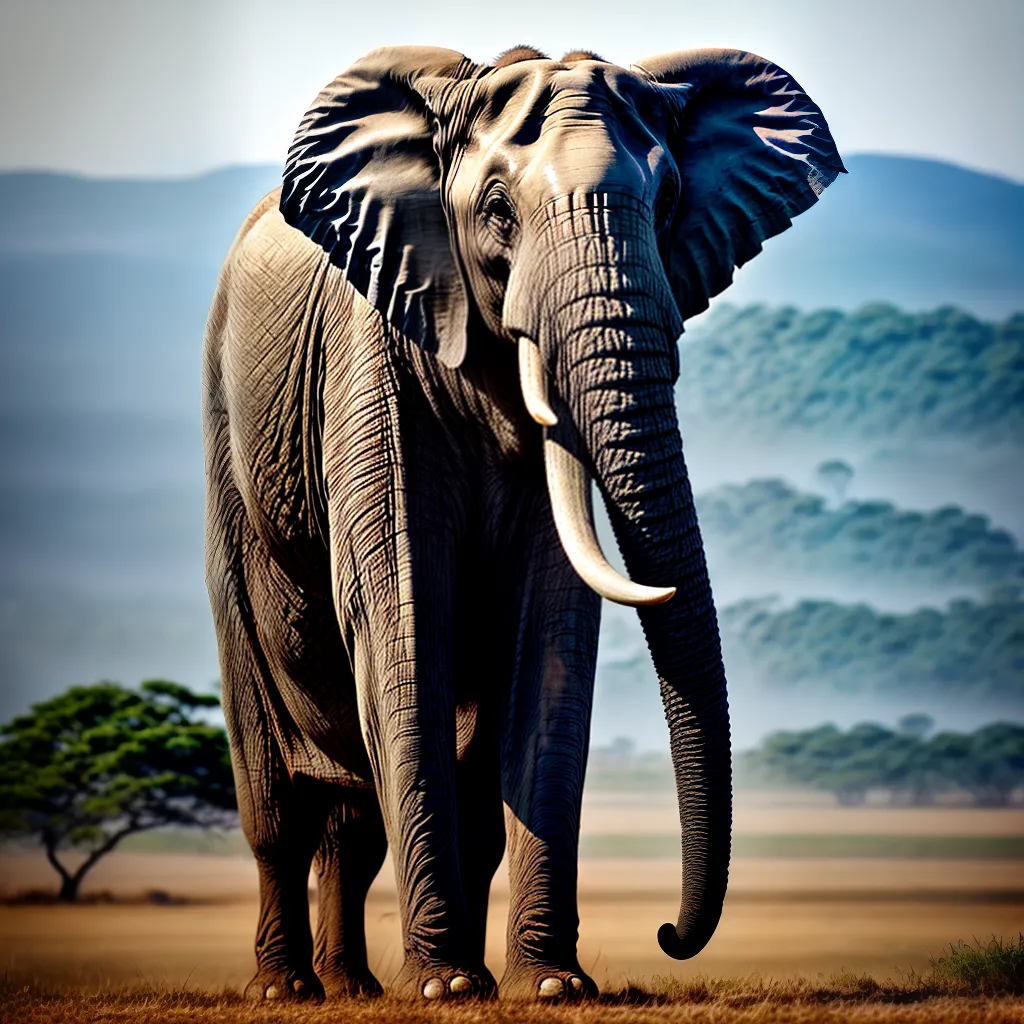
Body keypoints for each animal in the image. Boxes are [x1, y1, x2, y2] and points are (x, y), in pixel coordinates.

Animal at [203, 43, 842, 1002]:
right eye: (498, 212)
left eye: (666, 202)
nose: (668, 933)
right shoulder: (372, 357)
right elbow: (398, 613)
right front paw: (444, 989)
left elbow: (553, 634)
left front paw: (549, 986)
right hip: (226, 462)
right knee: (277, 802)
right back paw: (290, 989)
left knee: (363, 824)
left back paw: (356, 988)